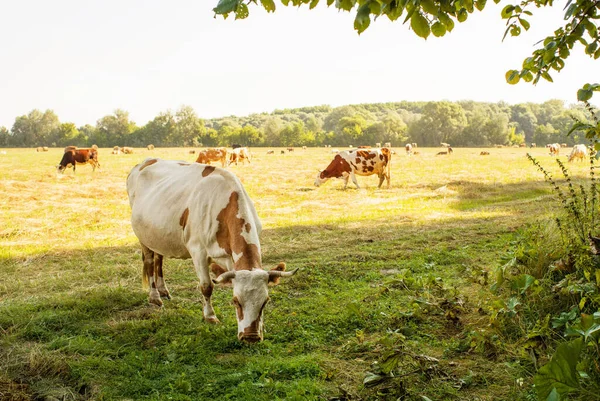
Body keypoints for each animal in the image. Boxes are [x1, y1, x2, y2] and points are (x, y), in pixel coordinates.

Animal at [126, 158, 296, 342]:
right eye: (236, 301)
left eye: (265, 301)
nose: (251, 337)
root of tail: (145, 162)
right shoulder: (198, 251)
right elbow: (207, 286)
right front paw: (210, 316)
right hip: (143, 236)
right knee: (150, 261)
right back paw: (155, 297)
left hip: (158, 234)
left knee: (159, 258)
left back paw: (163, 290)